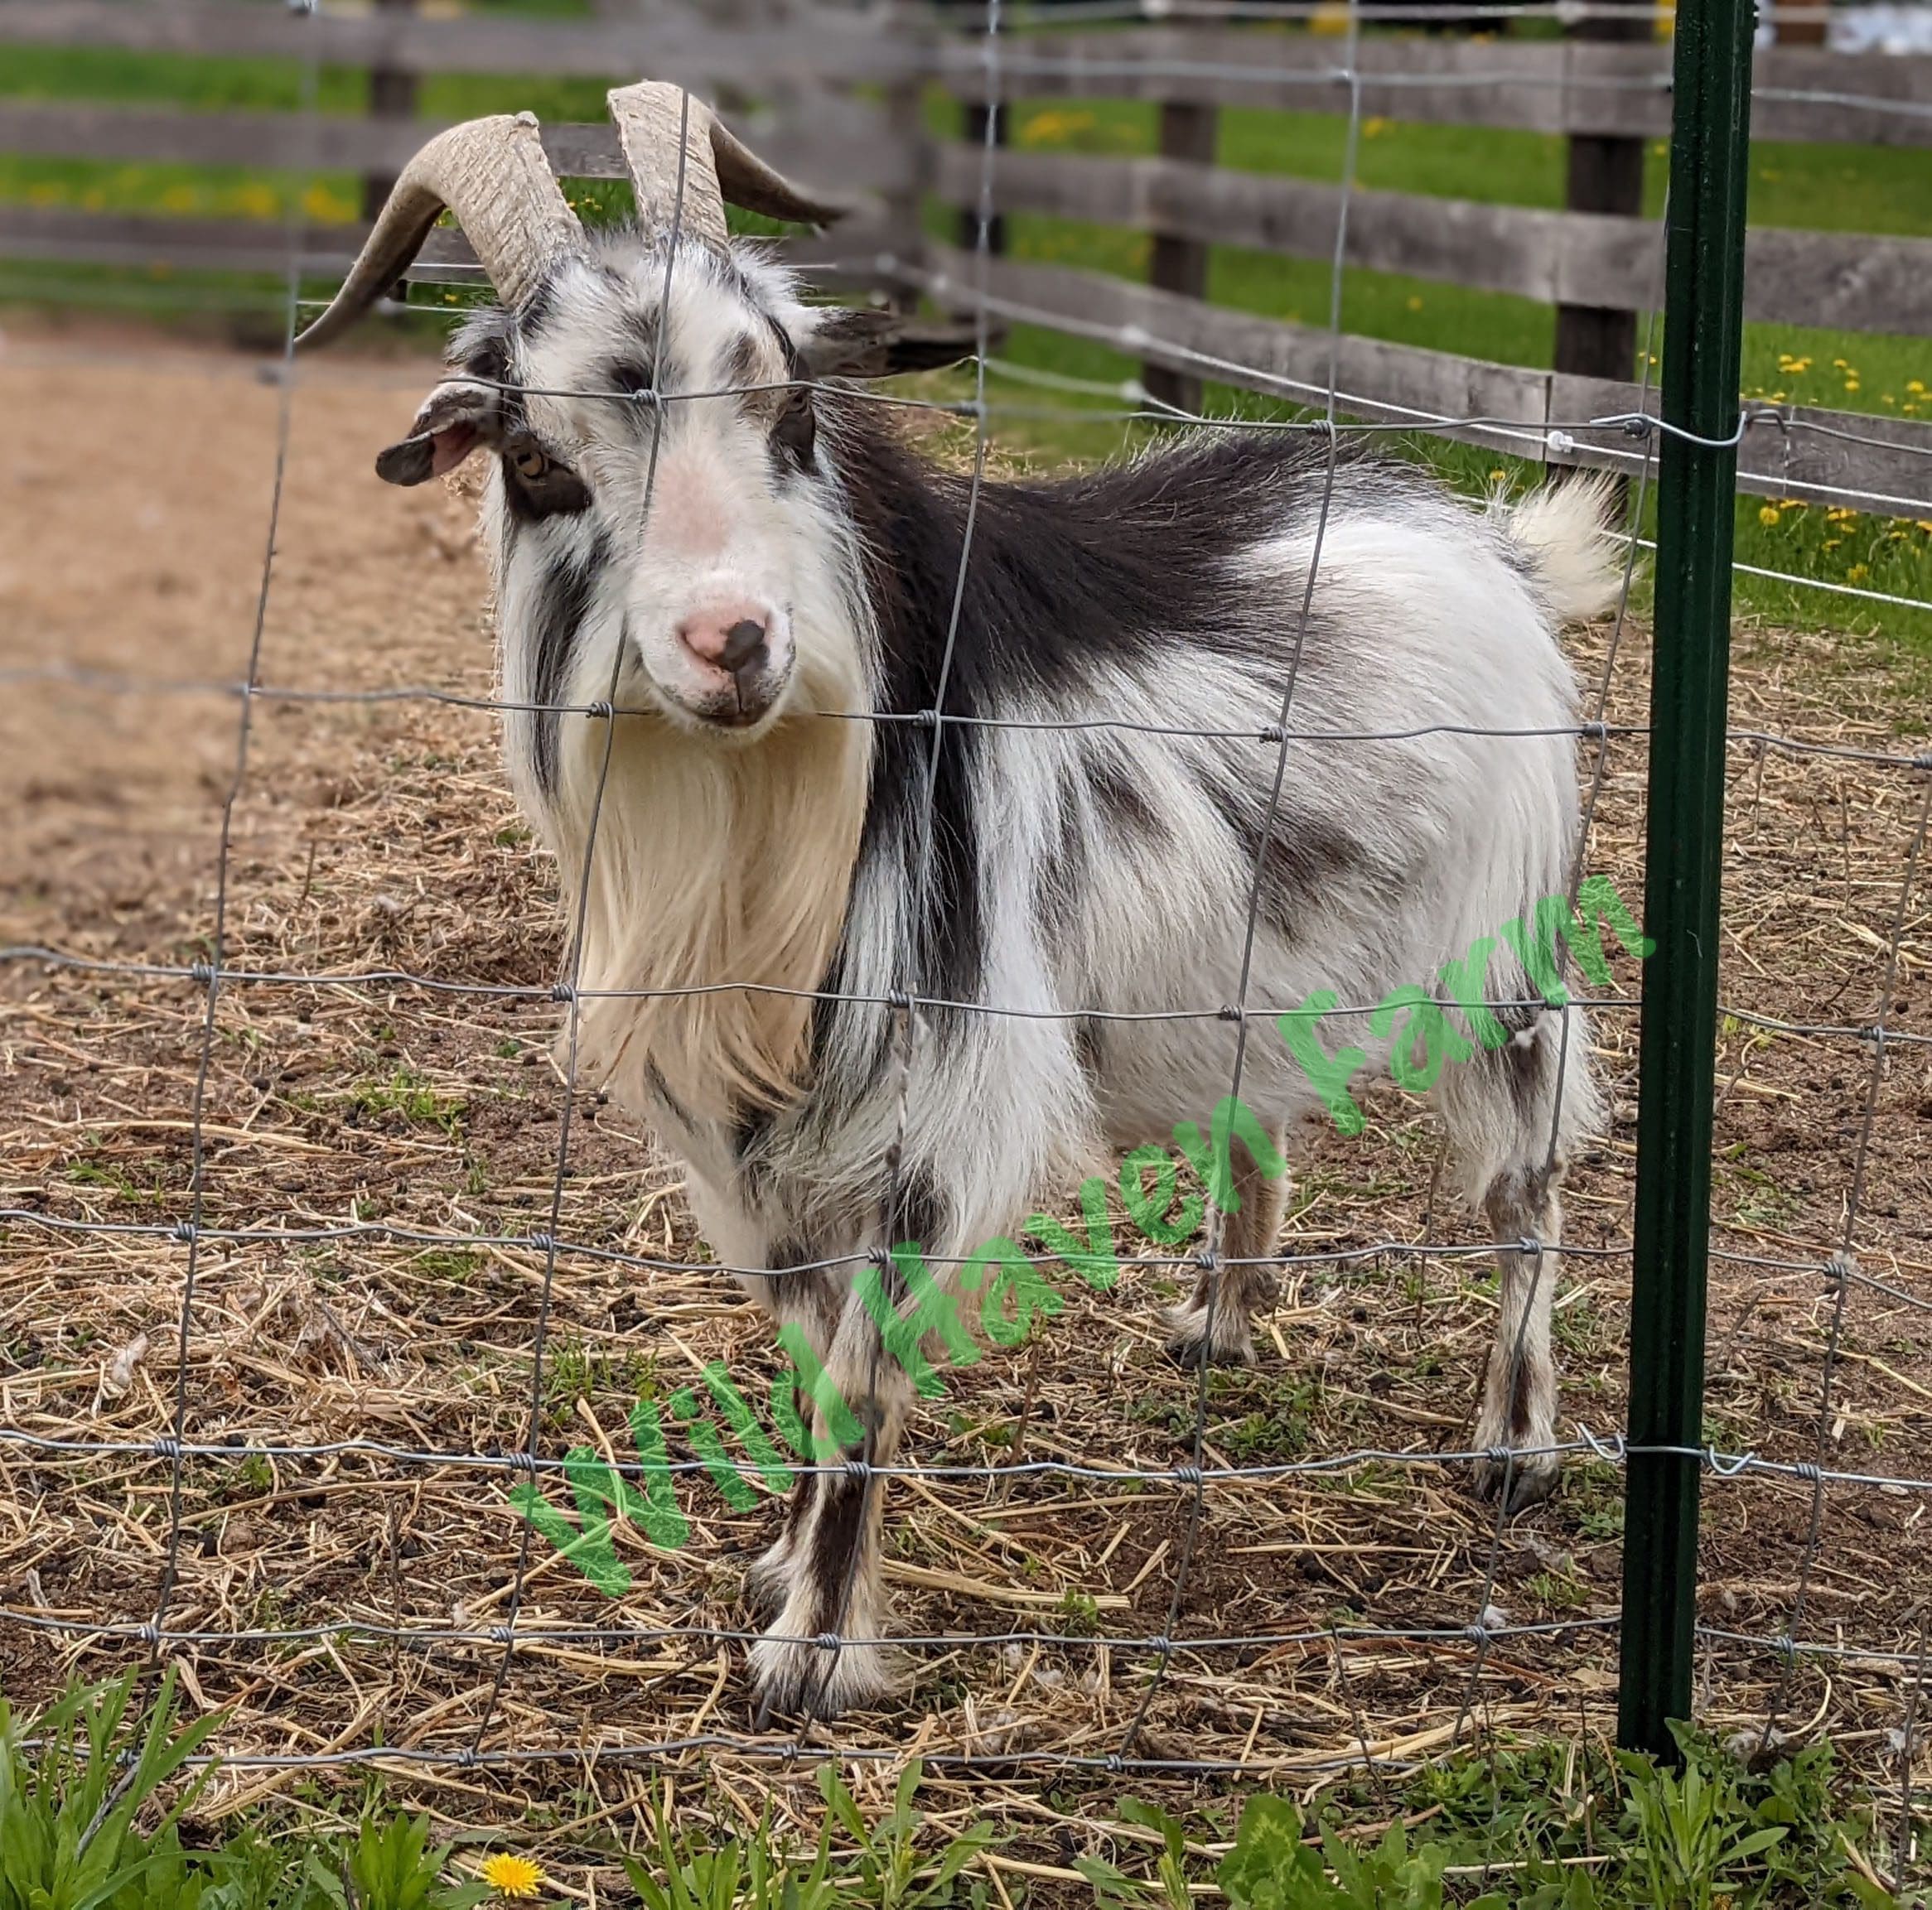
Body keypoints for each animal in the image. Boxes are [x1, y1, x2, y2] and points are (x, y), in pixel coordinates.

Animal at [299, 85, 1615, 1722]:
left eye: (793, 411)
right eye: (536, 456)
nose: (733, 640)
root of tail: (1490, 541)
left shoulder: (930, 1102)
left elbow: (863, 1375)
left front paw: (812, 1653)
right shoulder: (763, 1132)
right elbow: (808, 1355)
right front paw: (779, 1567)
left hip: (1502, 954)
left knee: (1525, 1186)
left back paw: (1515, 1443)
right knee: (1265, 1109)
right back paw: (1224, 1320)